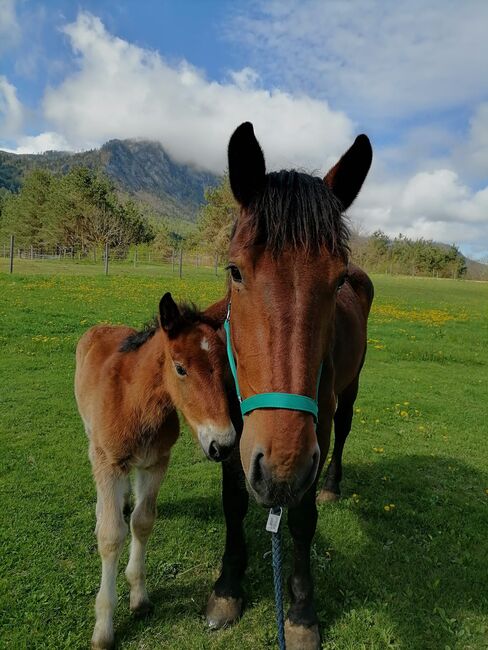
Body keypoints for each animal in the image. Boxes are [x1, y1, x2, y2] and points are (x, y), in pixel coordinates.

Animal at [75, 292, 236, 648]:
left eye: (226, 369)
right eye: (180, 368)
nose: (223, 444)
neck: (135, 403)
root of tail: (101, 327)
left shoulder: (156, 463)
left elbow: (143, 522)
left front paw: (139, 597)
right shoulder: (110, 462)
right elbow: (111, 535)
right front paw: (103, 628)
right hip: (93, 438)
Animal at [206, 123, 374, 648]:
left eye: (336, 280)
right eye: (235, 270)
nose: (280, 468)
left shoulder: (313, 437)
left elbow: (301, 520)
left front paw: (300, 613)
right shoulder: (234, 430)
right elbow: (233, 502)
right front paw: (227, 587)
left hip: (350, 393)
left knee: (345, 431)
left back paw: (334, 486)